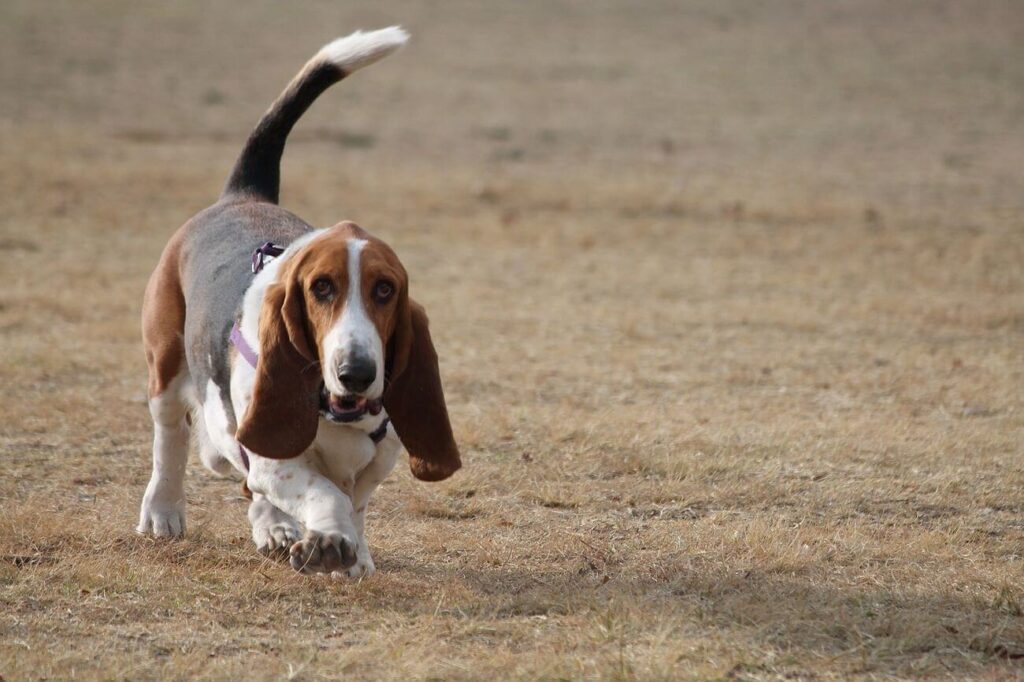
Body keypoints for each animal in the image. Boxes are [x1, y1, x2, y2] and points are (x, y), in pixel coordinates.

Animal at [135, 29, 460, 577]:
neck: (337, 410)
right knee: (172, 437)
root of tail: (243, 193)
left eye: (385, 289)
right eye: (321, 287)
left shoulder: (377, 459)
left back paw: (273, 526)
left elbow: (353, 500)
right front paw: (330, 540)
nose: (357, 372)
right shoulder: (274, 456)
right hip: (166, 363)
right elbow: (324, 493)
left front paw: (353, 554)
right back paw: (164, 511)